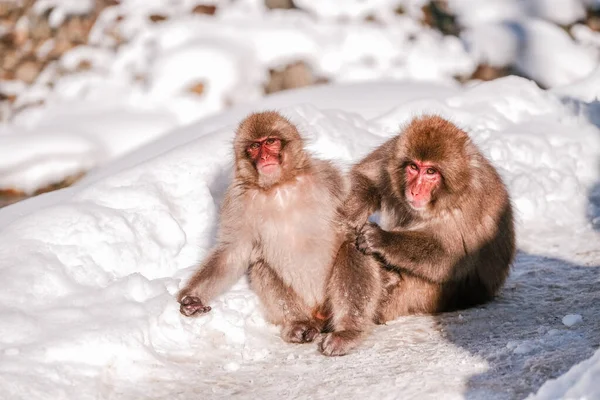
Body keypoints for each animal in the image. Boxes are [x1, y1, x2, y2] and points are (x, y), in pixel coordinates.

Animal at [178, 111, 382, 346]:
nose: (265, 158)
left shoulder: (328, 177)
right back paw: (299, 324)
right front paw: (193, 298)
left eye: (270, 142)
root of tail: (319, 313)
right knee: (260, 265)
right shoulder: (237, 202)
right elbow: (232, 251)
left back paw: (348, 330)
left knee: (351, 247)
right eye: (254, 147)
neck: (279, 186)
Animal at [322, 115, 516, 356]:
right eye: (414, 167)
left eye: (431, 172)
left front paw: (381, 239)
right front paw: (354, 211)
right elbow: (366, 177)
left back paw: (350, 330)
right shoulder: (392, 151)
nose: (414, 190)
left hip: (424, 296)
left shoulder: (472, 201)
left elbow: (451, 257)